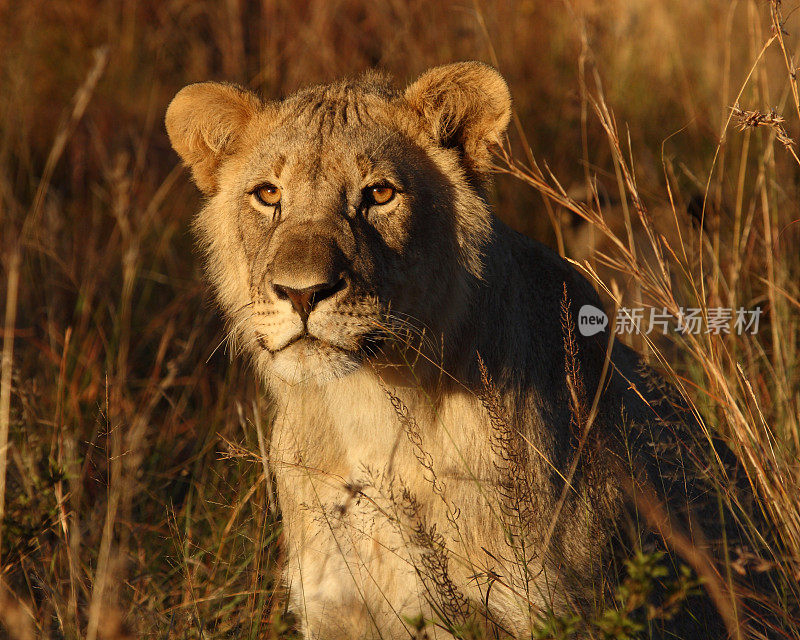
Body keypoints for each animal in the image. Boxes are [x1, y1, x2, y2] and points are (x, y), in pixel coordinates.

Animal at [167, 62, 768, 636]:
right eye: (268, 194)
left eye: (379, 194)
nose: (301, 292)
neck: (367, 410)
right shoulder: (336, 611)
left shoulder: (549, 607)